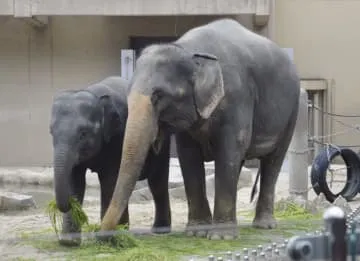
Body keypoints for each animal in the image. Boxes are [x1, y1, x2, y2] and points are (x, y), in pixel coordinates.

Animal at [49, 75, 172, 246]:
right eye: (51, 132)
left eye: (83, 133)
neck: (93, 93)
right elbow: (75, 180)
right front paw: (69, 242)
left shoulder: (118, 137)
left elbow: (109, 181)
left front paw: (106, 238)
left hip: (163, 142)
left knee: (157, 182)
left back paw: (158, 230)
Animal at [99, 18, 300, 241]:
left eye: (158, 96)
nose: (102, 235)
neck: (189, 50)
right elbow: (189, 156)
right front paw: (197, 232)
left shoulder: (236, 97)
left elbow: (229, 150)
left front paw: (222, 237)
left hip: (293, 110)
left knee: (273, 161)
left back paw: (263, 225)